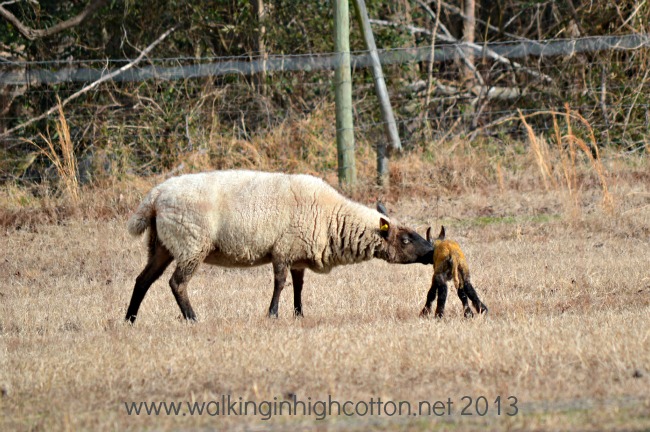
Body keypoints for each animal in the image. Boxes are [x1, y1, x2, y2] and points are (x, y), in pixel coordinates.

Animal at [125, 170, 434, 322]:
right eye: (406, 240)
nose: (432, 253)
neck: (331, 218)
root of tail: (155, 197)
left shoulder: (298, 253)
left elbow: (298, 286)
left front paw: (299, 313)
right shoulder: (284, 249)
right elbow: (280, 283)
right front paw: (273, 314)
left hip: (162, 245)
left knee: (143, 280)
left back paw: (130, 319)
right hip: (191, 244)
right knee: (177, 283)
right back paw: (192, 318)